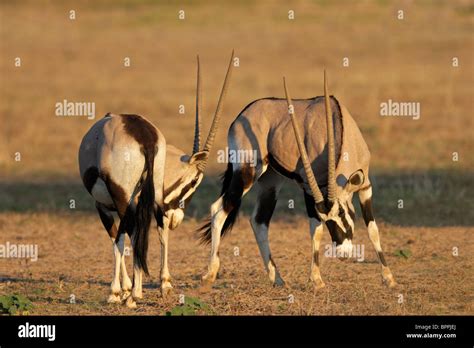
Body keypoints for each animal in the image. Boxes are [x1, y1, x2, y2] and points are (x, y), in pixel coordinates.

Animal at [78, 51, 234, 308]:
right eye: (194, 182)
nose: (178, 220)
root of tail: (145, 138)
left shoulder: (102, 206)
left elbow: (117, 238)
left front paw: (121, 291)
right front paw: (139, 287)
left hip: (122, 198)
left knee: (126, 235)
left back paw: (129, 294)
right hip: (154, 201)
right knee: (158, 227)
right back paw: (162, 286)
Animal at [199, 70, 396, 288]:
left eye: (343, 212)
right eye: (328, 219)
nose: (343, 254)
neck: (338, 126)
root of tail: (242, 115)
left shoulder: (365, 186)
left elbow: (372, 229)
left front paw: (389, 278)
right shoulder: (309, 188)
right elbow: (315, 229)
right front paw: (316, 280)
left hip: (270, 181)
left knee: (259, 221)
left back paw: (277, 278)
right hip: (247, 172)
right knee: (219, 210)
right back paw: (210, 274)